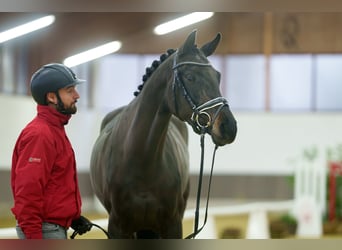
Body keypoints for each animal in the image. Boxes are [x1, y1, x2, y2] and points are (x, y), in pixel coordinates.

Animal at [89, 29, 236, 238]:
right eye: (190, 76)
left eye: (218, 76)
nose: (228, 127)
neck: (140, 157)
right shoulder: (117, 227)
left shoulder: (173, 224)